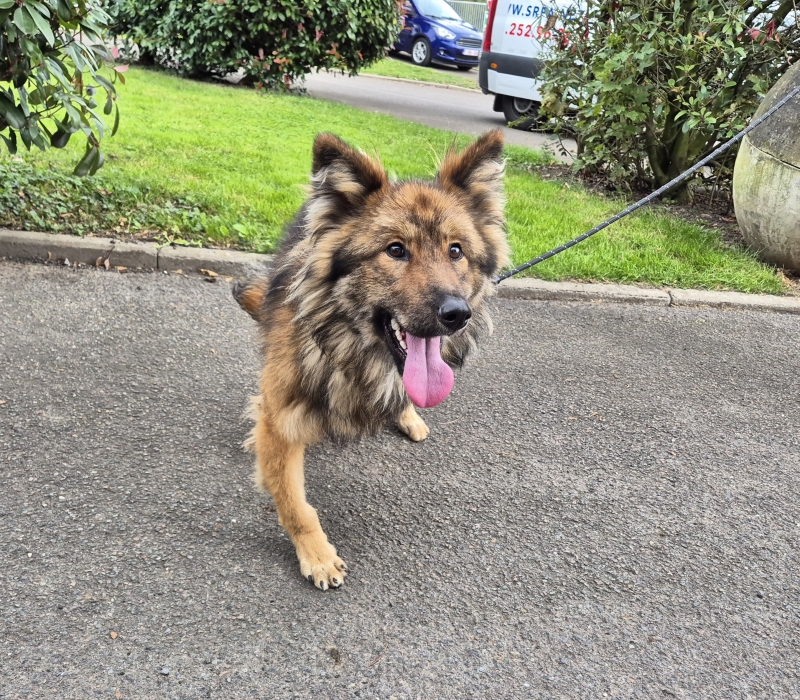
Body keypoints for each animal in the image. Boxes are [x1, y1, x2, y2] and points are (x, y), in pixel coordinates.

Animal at [233, 130, 509, 590]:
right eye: (395, 250)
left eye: (456, 251)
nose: (457, 314)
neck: (356, 352)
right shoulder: (280, 418)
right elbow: (294, 503)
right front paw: (317, 555)